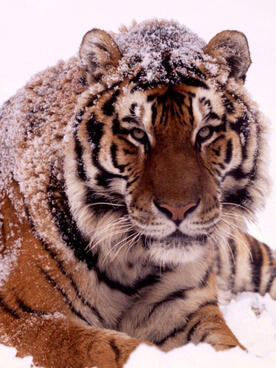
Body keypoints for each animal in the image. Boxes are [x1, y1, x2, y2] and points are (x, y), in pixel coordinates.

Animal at [0, 19, 276, 368]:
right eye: (137, 134)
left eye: (205, 132)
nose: (178, 210)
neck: (134, 265)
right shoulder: (24, 318)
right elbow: (108, 348)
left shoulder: (186, 309)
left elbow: (228, 347)